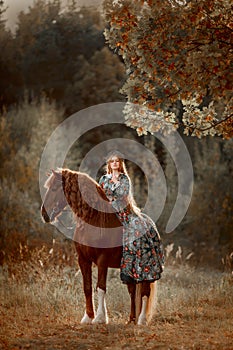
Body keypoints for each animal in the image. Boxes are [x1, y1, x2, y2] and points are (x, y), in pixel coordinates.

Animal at [40, 169, 157, 326]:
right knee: (133, 292)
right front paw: (88, 316)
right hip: (129, 272)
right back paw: (132, 319)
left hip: (145, 271)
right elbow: (87, 288)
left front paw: (100, 317)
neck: (94, 219)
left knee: (145, 293)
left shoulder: (102, 260)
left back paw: (142, 320)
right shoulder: (83, 260)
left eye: (53, 188)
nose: (44, 214)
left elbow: (101, 287)